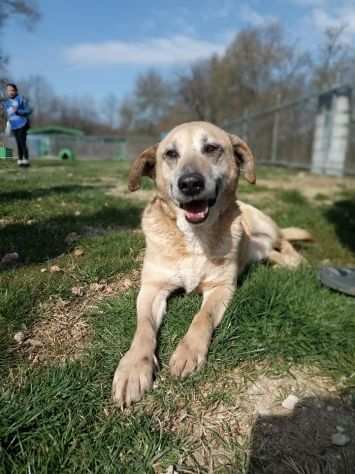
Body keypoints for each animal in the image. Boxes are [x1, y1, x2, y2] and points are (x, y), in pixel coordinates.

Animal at [112, 120, 312, 406]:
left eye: (211, 148)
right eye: (170, 154)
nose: (190, 183)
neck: (194, 237)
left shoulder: (221, 288)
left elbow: (202, 317)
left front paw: (188, 352)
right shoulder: (152, 289)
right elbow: (144, 328)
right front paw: (133, 368)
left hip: (266, 225)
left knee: (285, 240)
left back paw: (296, 260)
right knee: (269, 253)